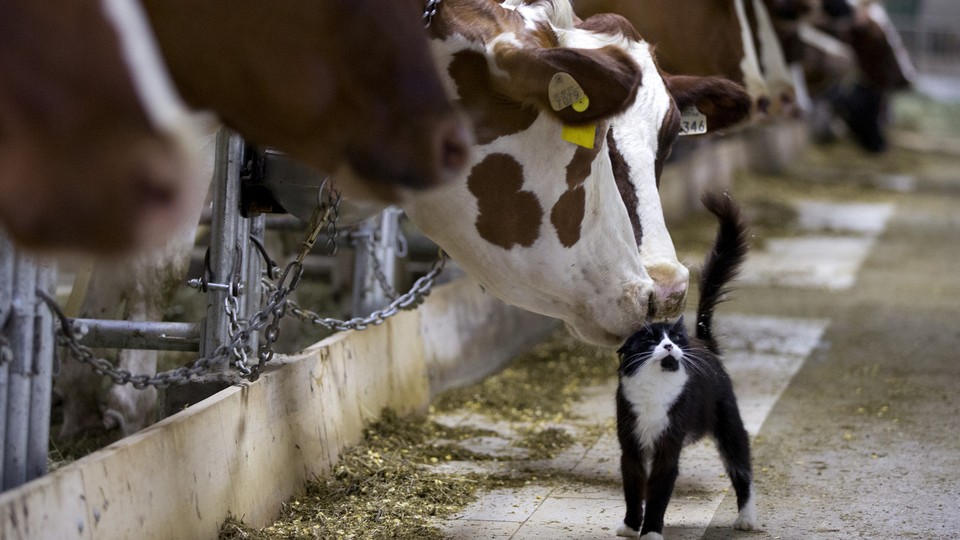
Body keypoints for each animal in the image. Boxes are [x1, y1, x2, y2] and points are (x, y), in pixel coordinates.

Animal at [616, 192, 756, 536]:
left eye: (675, 339)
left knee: (742, 468)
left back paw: (747, 519)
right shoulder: (631, 446)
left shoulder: (669, 446)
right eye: (650, 340)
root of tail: (704, 343)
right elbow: (633, 486)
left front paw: (651, 531)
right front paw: (630, 526)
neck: (655, 391)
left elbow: (659, 490)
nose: (669, 345)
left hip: (729, 423)